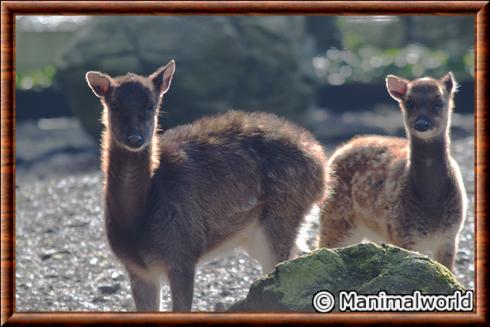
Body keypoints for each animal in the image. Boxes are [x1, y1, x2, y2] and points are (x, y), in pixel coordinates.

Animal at [86, 59, 328, 312]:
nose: (135, 139)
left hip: (283, 214)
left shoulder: (183, 252)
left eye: (151, 105)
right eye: (114, 104)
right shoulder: (137, 269)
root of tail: (321, 164)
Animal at [318, 73, 468, 272]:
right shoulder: (402, 233)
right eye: (409, 102)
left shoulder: (450, 236)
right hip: (334, 216)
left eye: (439, 101)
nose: (422, 123)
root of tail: (342, 148)